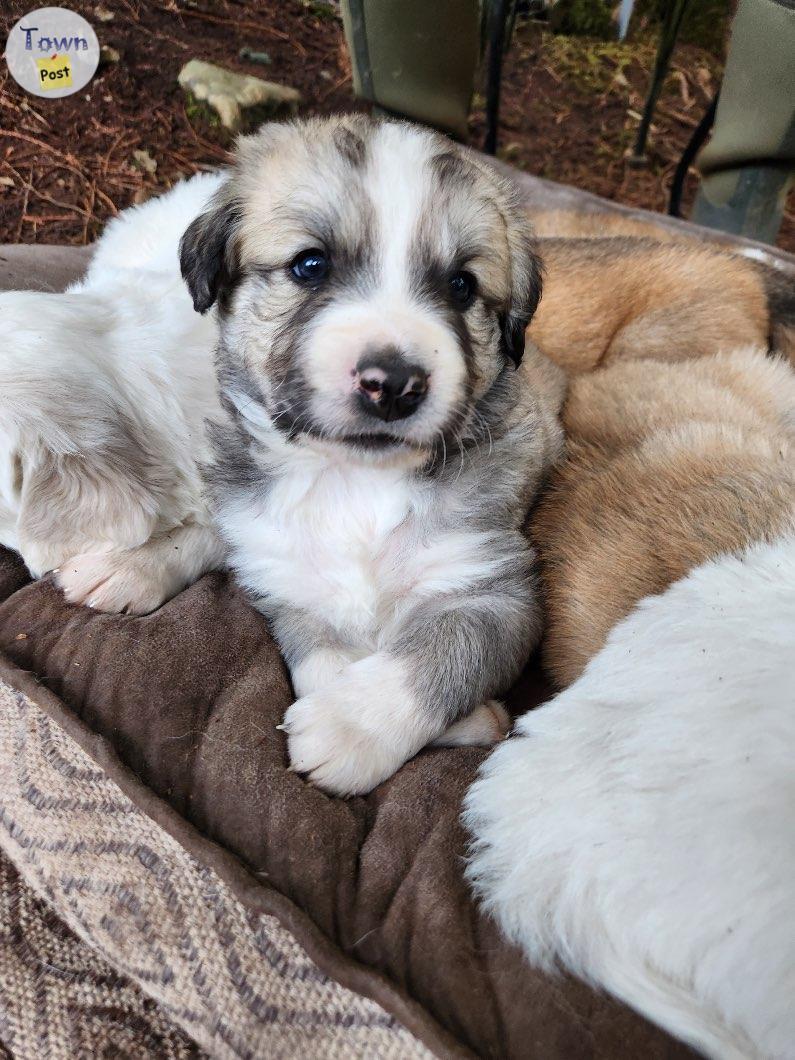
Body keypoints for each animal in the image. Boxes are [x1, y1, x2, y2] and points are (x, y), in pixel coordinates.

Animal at [180, 116, 568, 797]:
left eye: (461, 284)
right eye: (310, 265)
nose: (394, 383)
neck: (354, 482)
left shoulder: (494, 590)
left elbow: (439, 652)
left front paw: (349, 725)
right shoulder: (284, 578)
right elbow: (321, 656)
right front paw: (342, 698)